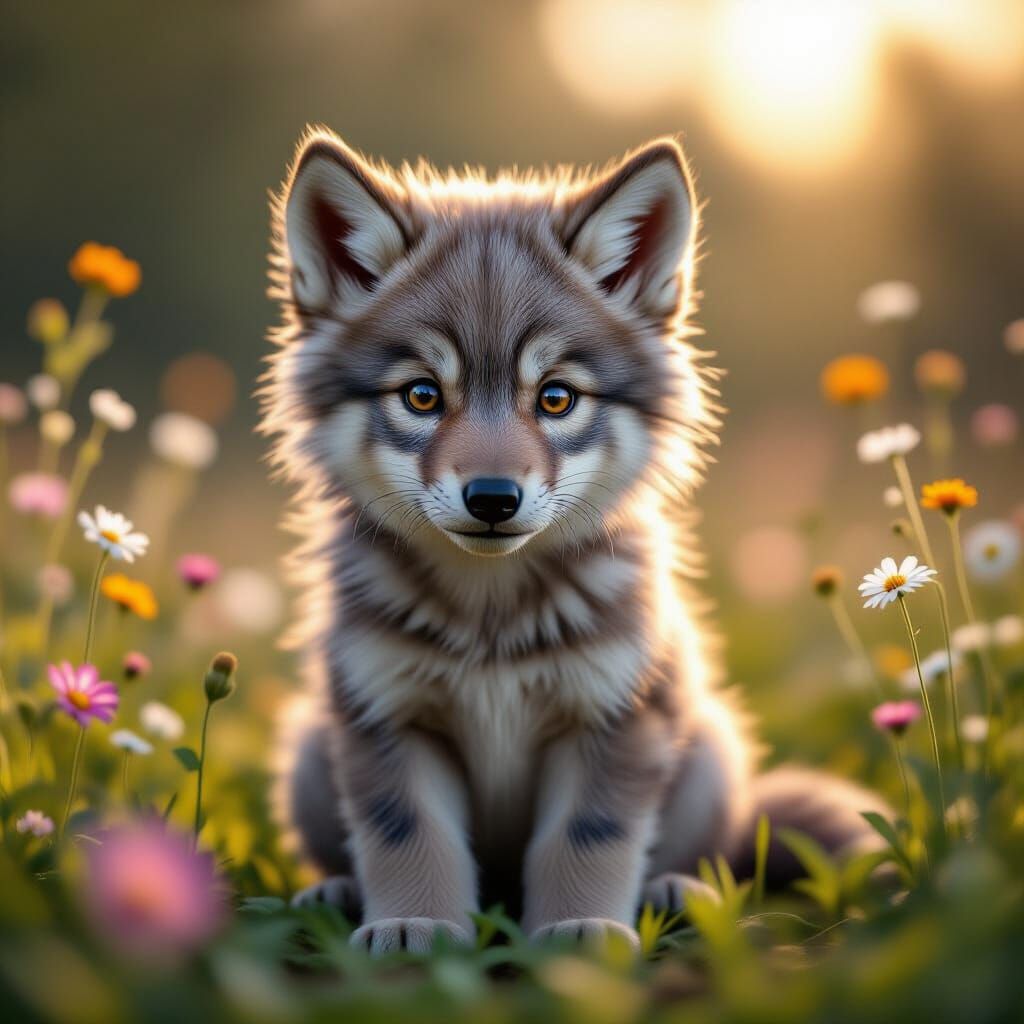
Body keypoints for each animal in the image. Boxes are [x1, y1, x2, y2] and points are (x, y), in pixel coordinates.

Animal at [261, 128, 886, 954]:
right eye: (421, 396)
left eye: (556, 398)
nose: (494, 498)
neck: (489, 615)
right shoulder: (383, 713)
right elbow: (409, 834)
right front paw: (415, 921)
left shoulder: (616, 716)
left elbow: (587, 839)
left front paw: (580, 928)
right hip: (308, 748)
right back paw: (331, 892)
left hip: (710, 747)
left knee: (711, 852)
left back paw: (675, 890)